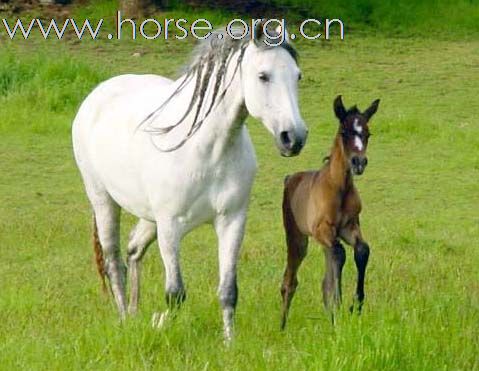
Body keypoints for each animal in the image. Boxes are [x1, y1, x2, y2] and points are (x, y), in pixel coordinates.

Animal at [73, 24, 310, 342]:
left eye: (297, 75)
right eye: (263, 76)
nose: (293, 138)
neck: (207, 149)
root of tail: (98, 94)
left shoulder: (232, 222)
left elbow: (228, 291)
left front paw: (229, 343)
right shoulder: (170, 227)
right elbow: (175, 294)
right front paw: (165, 328)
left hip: (149, 217)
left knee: (133, 250)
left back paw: (134, 314)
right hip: (104, 200)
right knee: (113, 261)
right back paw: (123, 320)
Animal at [282, 95, 378, 328]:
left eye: (367, 133)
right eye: (344, 132)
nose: (359, 162)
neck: (338, 187)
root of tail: (289, 178)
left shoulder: (349, 227)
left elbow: (362, 250)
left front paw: (355, 305)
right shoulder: (322, 229)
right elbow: (340, 254)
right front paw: (339, 303)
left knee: (326, 273)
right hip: (297, 238)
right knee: (289, 281)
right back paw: (282, 327)